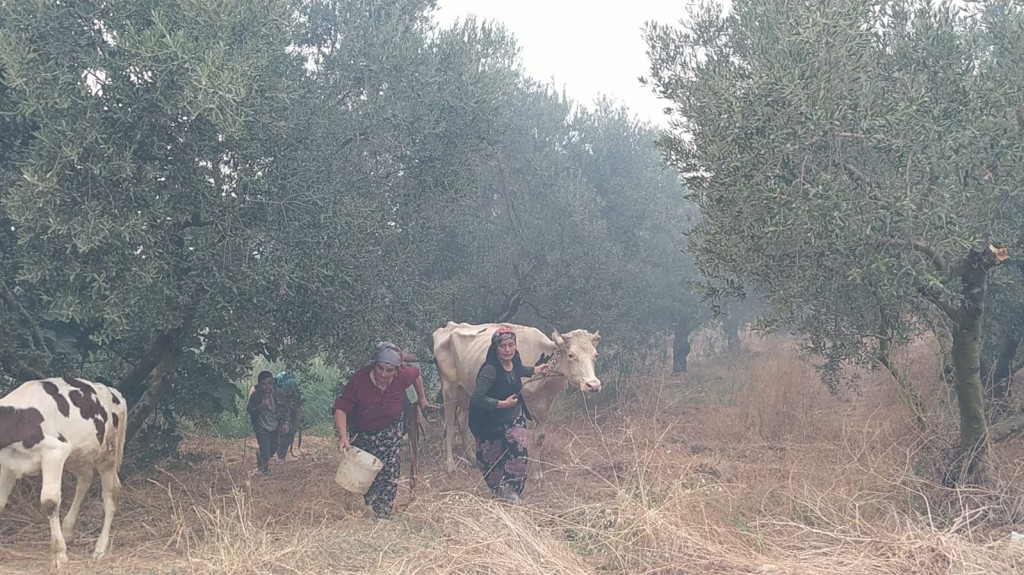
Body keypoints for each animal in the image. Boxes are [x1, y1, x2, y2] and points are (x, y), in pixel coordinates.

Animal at [0, 376, 126, 564]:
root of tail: (114, 392)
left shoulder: (54, 452)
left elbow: (50, 502)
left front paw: (59, 554)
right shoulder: (7, 462)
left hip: (107, 453)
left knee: (112, 493)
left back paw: (100, 548)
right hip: (78, 453)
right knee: (86, 478)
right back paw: (67, 531)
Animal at [430, 323, 598, 474]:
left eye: (595, 355)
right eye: (571, 355)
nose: (593, 385)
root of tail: (449, 326)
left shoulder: (545, 406)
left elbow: (539, 437)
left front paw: (536, 472)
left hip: (466, 391)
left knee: (462, 420)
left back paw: (472, 458)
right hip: (449, 388)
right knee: (449, 425)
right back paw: (450, 465)